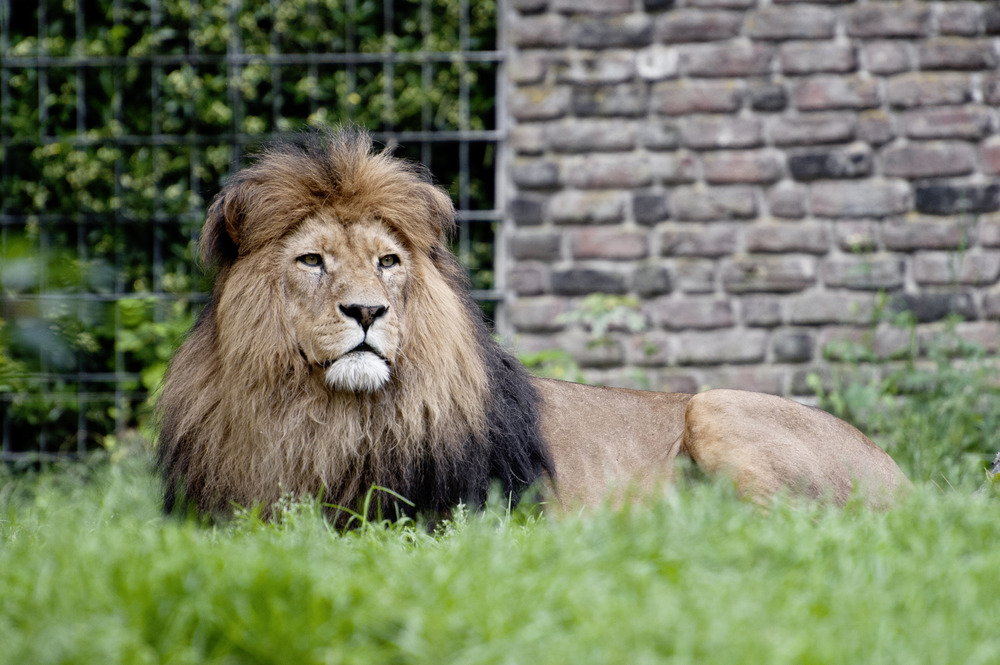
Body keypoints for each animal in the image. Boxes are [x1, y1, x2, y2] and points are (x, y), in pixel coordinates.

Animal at [154, 127, 908, 520]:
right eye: (312, 260)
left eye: (388, 261)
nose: (368, 310)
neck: (323, 416)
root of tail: (906, 479)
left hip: (716, 407)